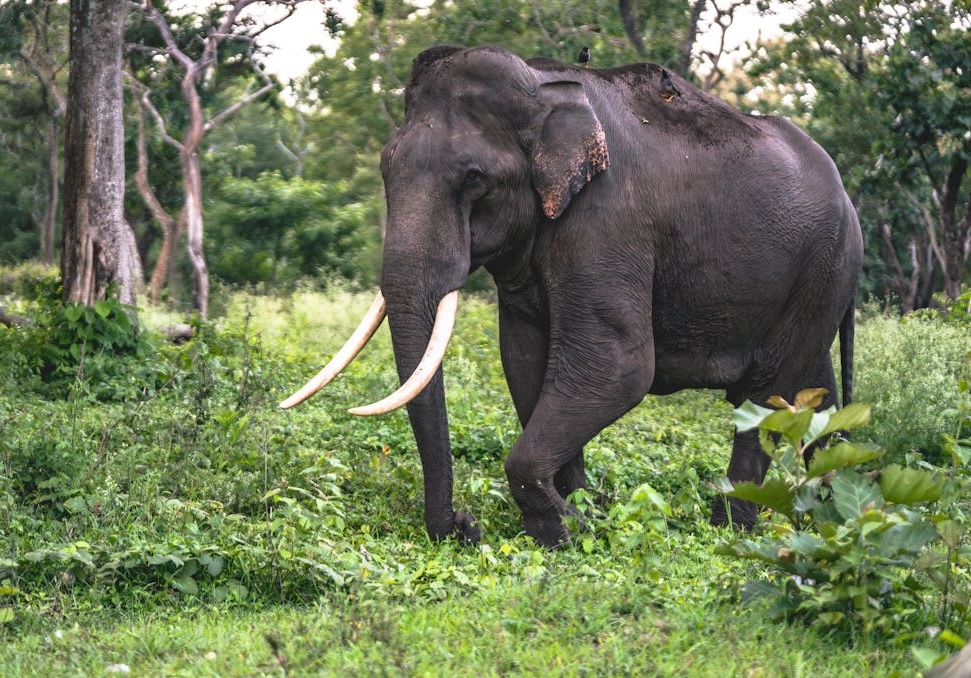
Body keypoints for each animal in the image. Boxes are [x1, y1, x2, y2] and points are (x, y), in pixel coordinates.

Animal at [281, 45, 863, 548]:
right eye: (385, 167)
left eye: (474, 179)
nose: (465, 526)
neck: (541, 88)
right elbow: (524, 360)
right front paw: (587, 506)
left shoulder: (607, 219)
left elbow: (617, 366)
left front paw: (565, 528)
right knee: (814, 391)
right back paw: (830, 507)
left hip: (824, 265)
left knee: (766, 397)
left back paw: (732, 527)